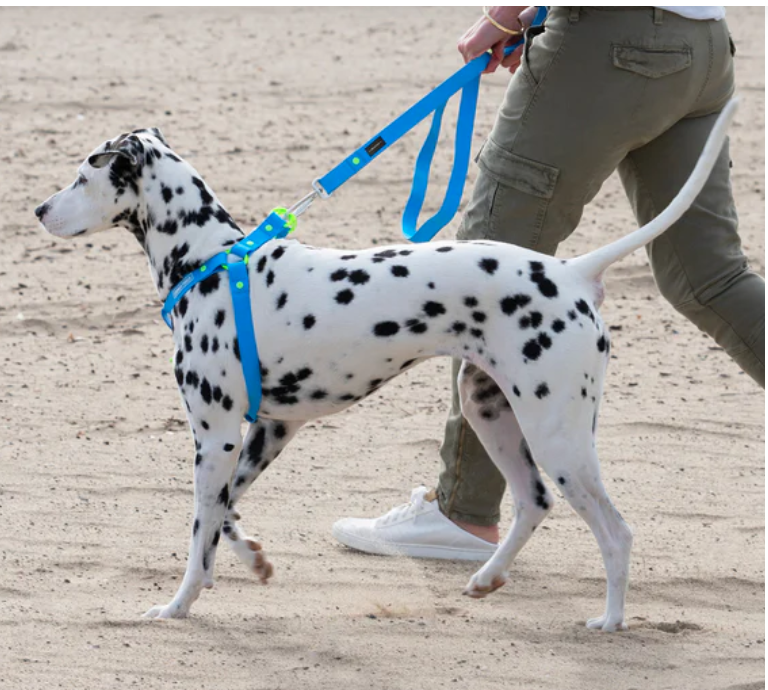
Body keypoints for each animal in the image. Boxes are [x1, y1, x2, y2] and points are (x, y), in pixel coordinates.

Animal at [34, 99, 736, 632]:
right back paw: (487, 578)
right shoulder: (268, 432)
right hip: (492, 412)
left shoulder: (216, 436)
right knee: (532, 502)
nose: (39, 209)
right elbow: (225, 514)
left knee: (616, 533)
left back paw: (610, 620)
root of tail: (571, 272)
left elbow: (198, 527)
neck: (210, 260)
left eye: (82, 176)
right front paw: (250, 561)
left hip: (557, 436)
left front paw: (178, 605)